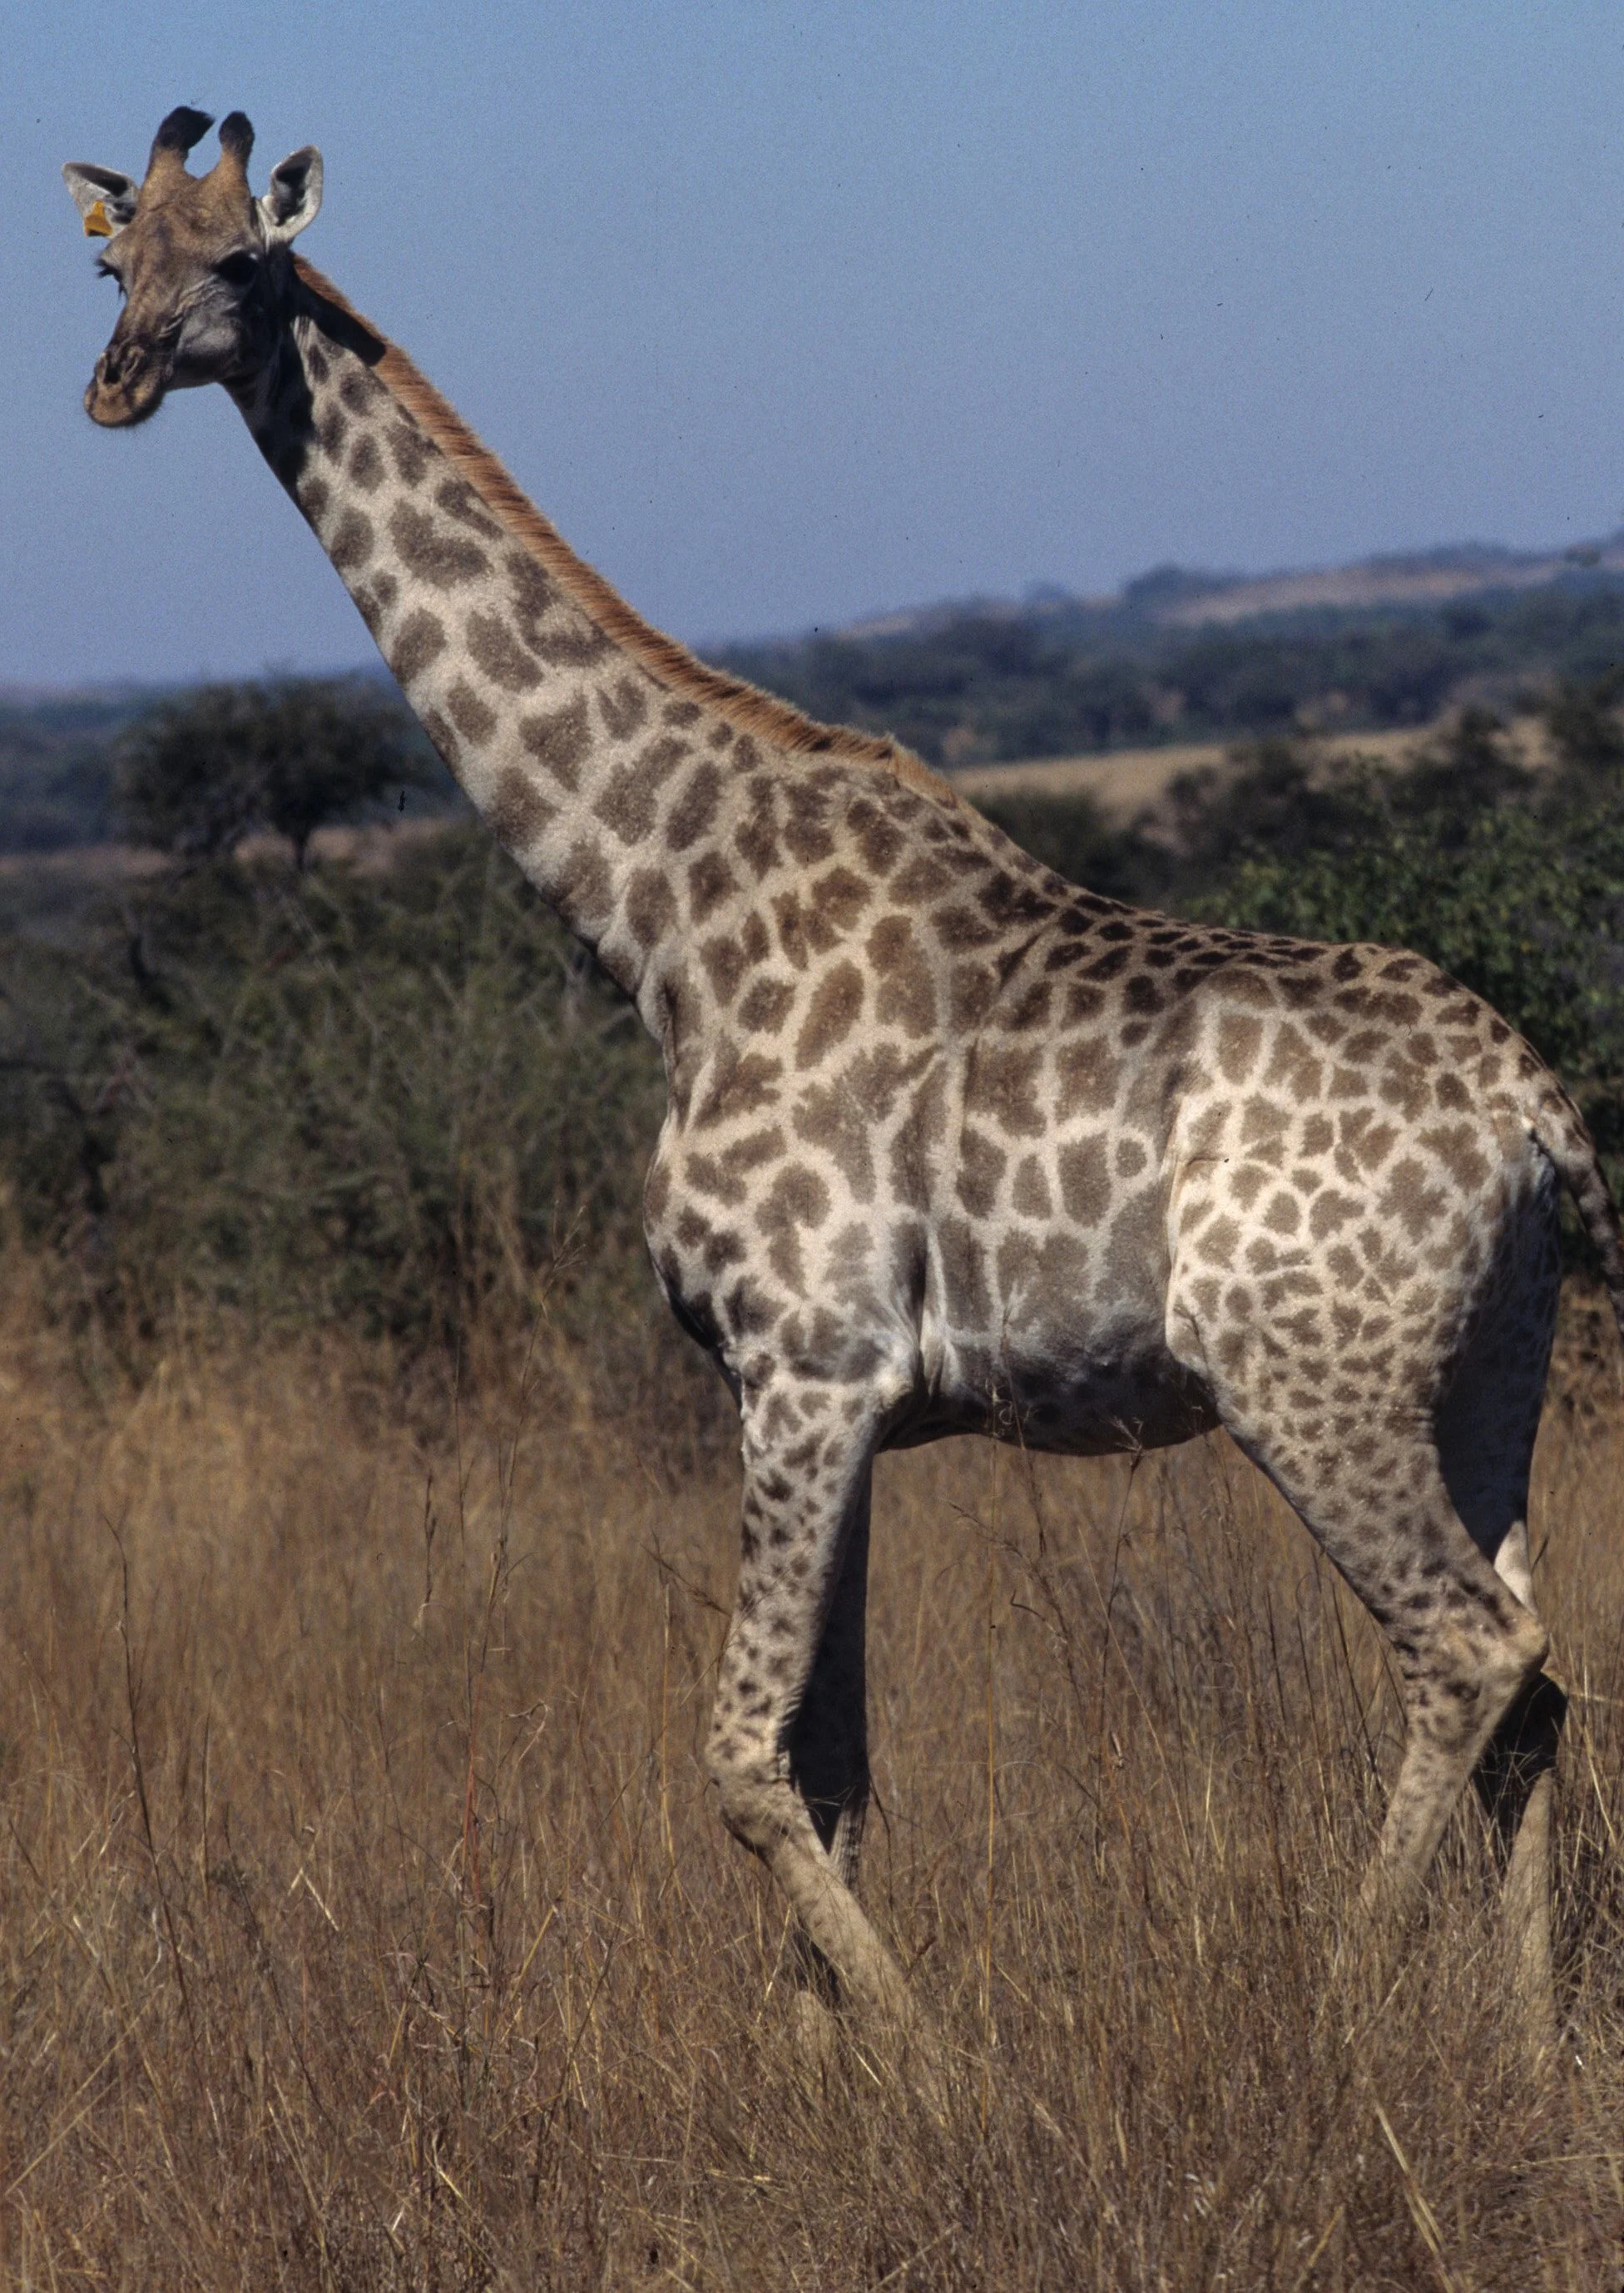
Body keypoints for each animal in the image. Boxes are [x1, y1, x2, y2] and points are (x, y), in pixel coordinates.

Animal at [65, 108, 1624, 2046]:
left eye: (236, 261)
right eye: (109, 260)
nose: (115, 382)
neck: (656, 908)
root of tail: (1535, 1114)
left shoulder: (800, 1362)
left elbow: (742, 1761)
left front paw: (928, 2071)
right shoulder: (832, 1391)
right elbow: (835, 1766)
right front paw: (822, 2073)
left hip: (1304, 1376)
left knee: (1463, 1648)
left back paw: (1337, 2008)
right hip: (1491, 1368)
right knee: (1536, 1668)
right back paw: (1529, 2049)